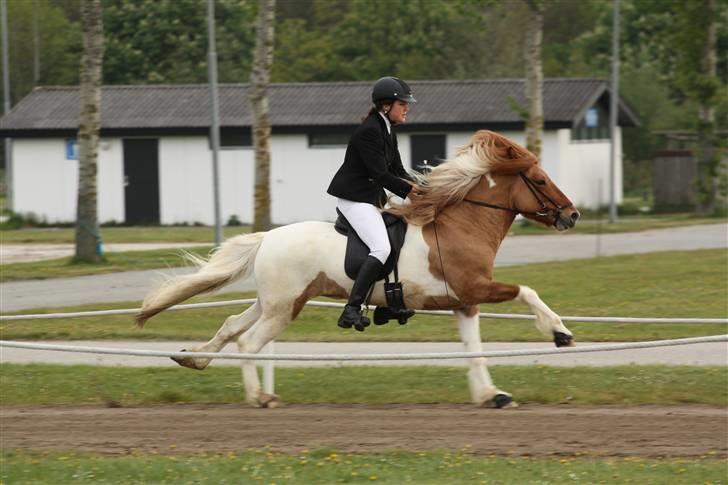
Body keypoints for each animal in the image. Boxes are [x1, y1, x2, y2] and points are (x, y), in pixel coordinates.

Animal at [135, 130, 580, 408]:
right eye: (540, 179)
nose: (572, 215)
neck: (460, 226)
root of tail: (267, 238)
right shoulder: (476, 288)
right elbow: (527, 292)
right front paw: (560, 333)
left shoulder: (464, 302)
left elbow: (474, 351)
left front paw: (492, 396)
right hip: (285, 307)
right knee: (249, 342)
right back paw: (261, 397)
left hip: (273, 301)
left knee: (231, 326)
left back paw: (195, 360)